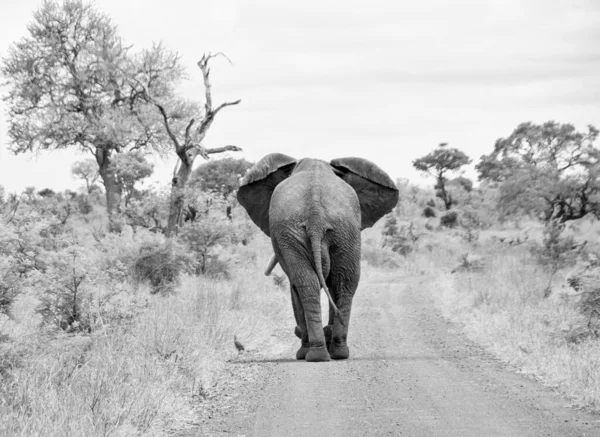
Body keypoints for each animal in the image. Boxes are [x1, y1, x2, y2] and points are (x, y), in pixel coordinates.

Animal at [236, 153, 398, 362]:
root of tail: (316, 214)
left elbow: (296, 288)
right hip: (341, 230)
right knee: (341, 282)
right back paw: (332, 353)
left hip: (321, 230)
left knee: (309, 283)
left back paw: (315, 353)